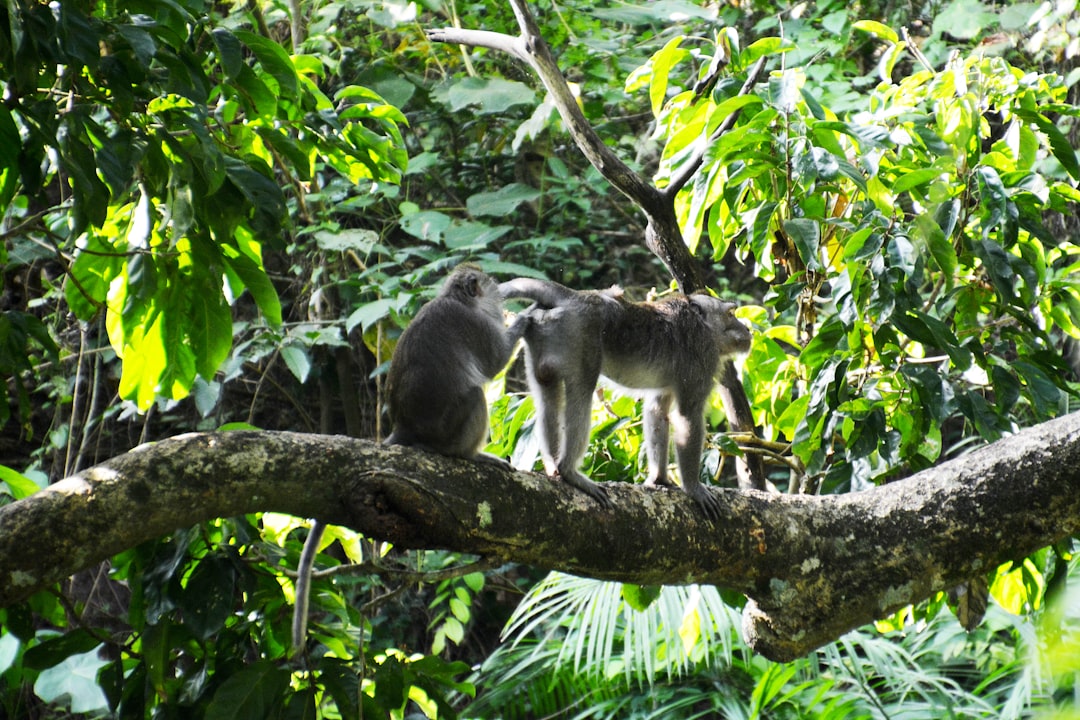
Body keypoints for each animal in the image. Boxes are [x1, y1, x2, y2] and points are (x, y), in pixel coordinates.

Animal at [291, 266, 527, 660]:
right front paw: (523, 319)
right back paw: (474, 455)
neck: (456, 300)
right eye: (491, 284)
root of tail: (404, 427)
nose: (503, 296)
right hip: (451, 431)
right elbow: (494, 362)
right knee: (474, 396)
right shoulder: (474, 325)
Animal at [498, 278, 747, 520]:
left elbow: (657, 411)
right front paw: (694, 488)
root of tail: (574, 296)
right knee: (582, 392)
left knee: (548, 395)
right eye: (730, 314)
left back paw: (552, 465)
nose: (746, 329)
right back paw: (569, 471)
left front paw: (659, 479)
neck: (703, 324)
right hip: (581, 336)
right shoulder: (703, 357)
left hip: (541, 332)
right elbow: (688, 415)